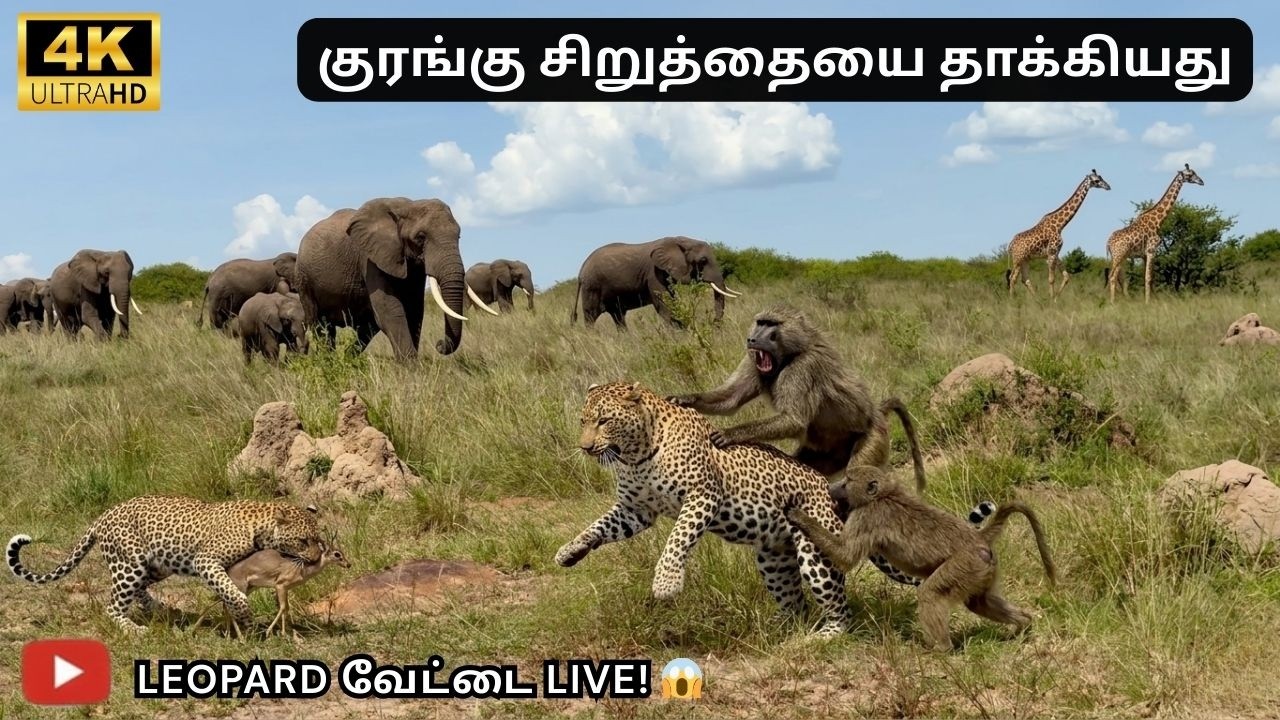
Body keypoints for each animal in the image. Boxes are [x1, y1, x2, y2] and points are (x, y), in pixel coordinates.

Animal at [7, 495, 326, 634]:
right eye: (303, 541)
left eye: (318, 540)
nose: (313, 559)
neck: (260, 526)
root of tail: (101, 518)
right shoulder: (206, 561)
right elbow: (230, 591)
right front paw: (245, 615)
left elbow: (228, 590)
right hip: (129, 563)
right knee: (114, 605)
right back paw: (135, 629)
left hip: (156, 565)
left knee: (139, 590)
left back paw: (161, 609)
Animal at [556, 380, 863, 637]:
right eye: (583, 421)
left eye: (604, 421)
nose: (585, 447)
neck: (636, 456)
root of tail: (828, 488)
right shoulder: (636, 510)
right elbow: (599, 526)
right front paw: (570, 550)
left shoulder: (702, 495)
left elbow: (678, 537)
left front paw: (666, 583)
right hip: (774, 560)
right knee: (796, 606)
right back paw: (776, 631)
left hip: (815, 550)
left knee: (840, 607)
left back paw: (823, 636)